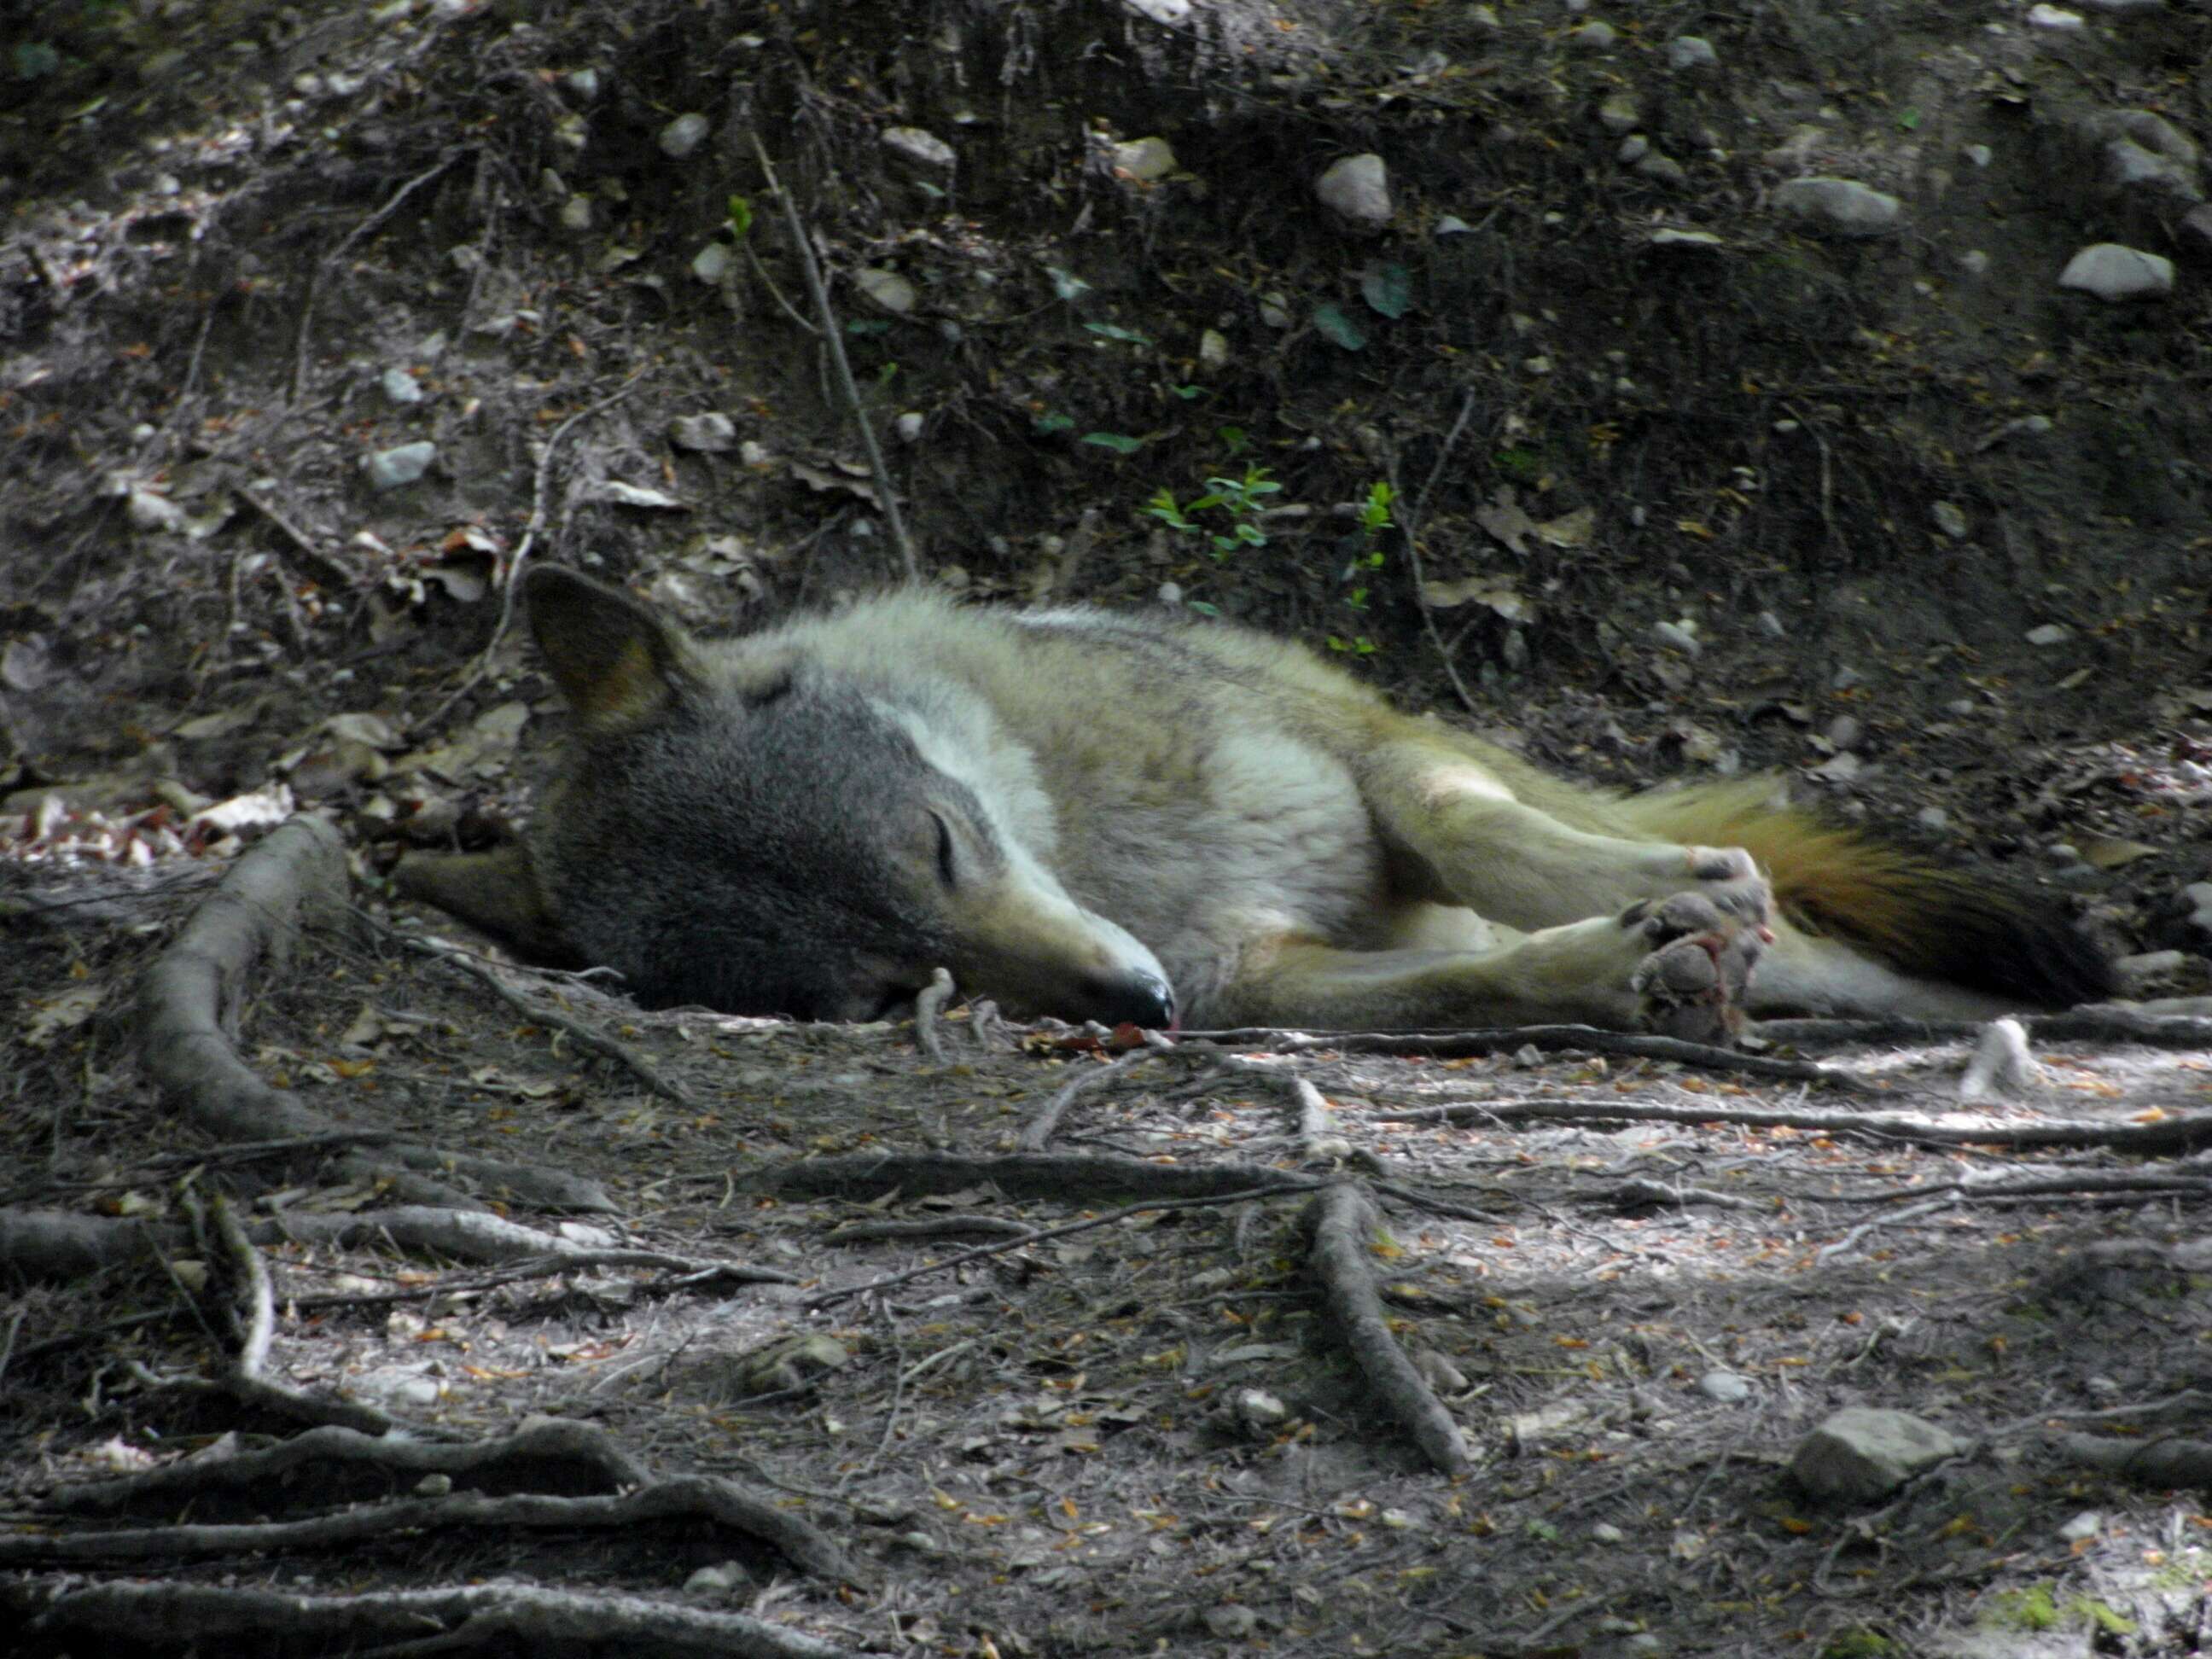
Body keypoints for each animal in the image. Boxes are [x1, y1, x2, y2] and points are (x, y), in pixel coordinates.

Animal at [398, 570, 2105, 1039]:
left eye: (942, 844)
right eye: (900, 988)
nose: (1135, 1004)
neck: (1119, 856)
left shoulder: (1368, 752)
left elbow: (1483, 833)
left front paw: (1678, 889)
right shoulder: (1258, 981)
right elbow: (1480, 973)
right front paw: (1623, 962)